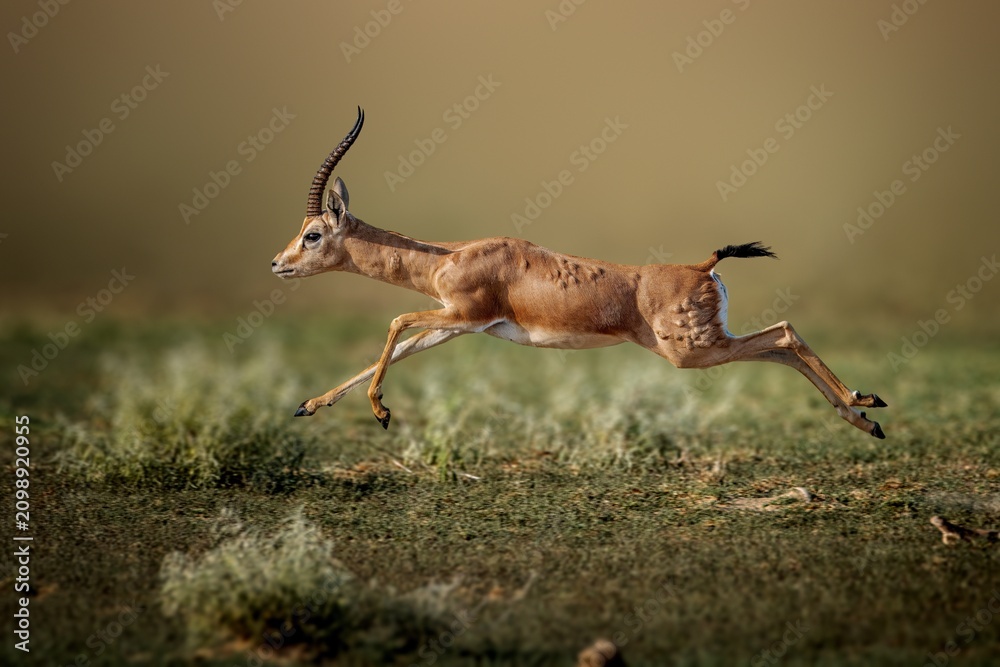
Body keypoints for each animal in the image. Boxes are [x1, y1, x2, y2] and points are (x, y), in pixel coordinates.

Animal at [271, 108, 888, 438]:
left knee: (782, 334)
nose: (278, 264)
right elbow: (397, 348)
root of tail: (701, 266)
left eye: (313, 234)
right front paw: (309, 405)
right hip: (705, 345)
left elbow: (396, 323)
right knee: (779, 344)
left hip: (691, 351)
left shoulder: (465, 314)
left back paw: (867, 404)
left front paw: (380, 412)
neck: (448, 256)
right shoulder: (456, 325)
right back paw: (865, 417)